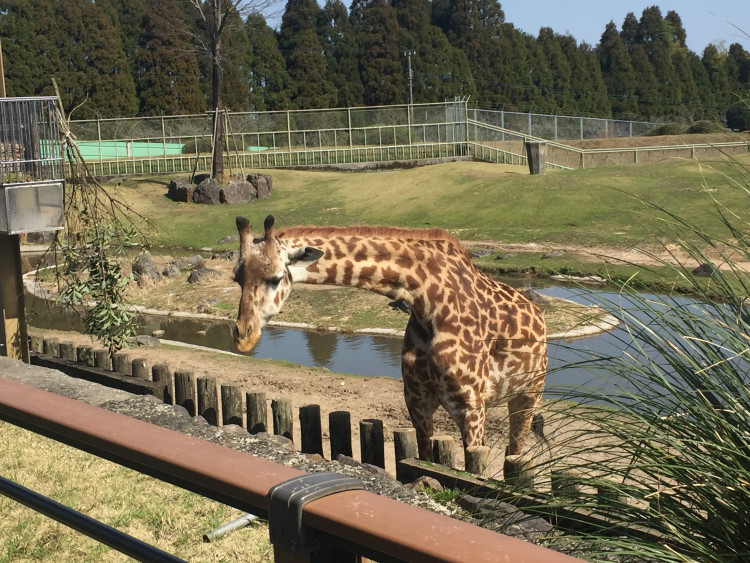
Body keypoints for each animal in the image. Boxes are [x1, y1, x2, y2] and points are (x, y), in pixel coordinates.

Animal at [232, 214, 548, 464]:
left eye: (275, 278)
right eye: (237, 277)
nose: (243, 336)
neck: (428, 302)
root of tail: (539, 314)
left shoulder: (470, 405)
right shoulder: (416, 399)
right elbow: (425, 459)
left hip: (530, 392)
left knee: (514, 451)